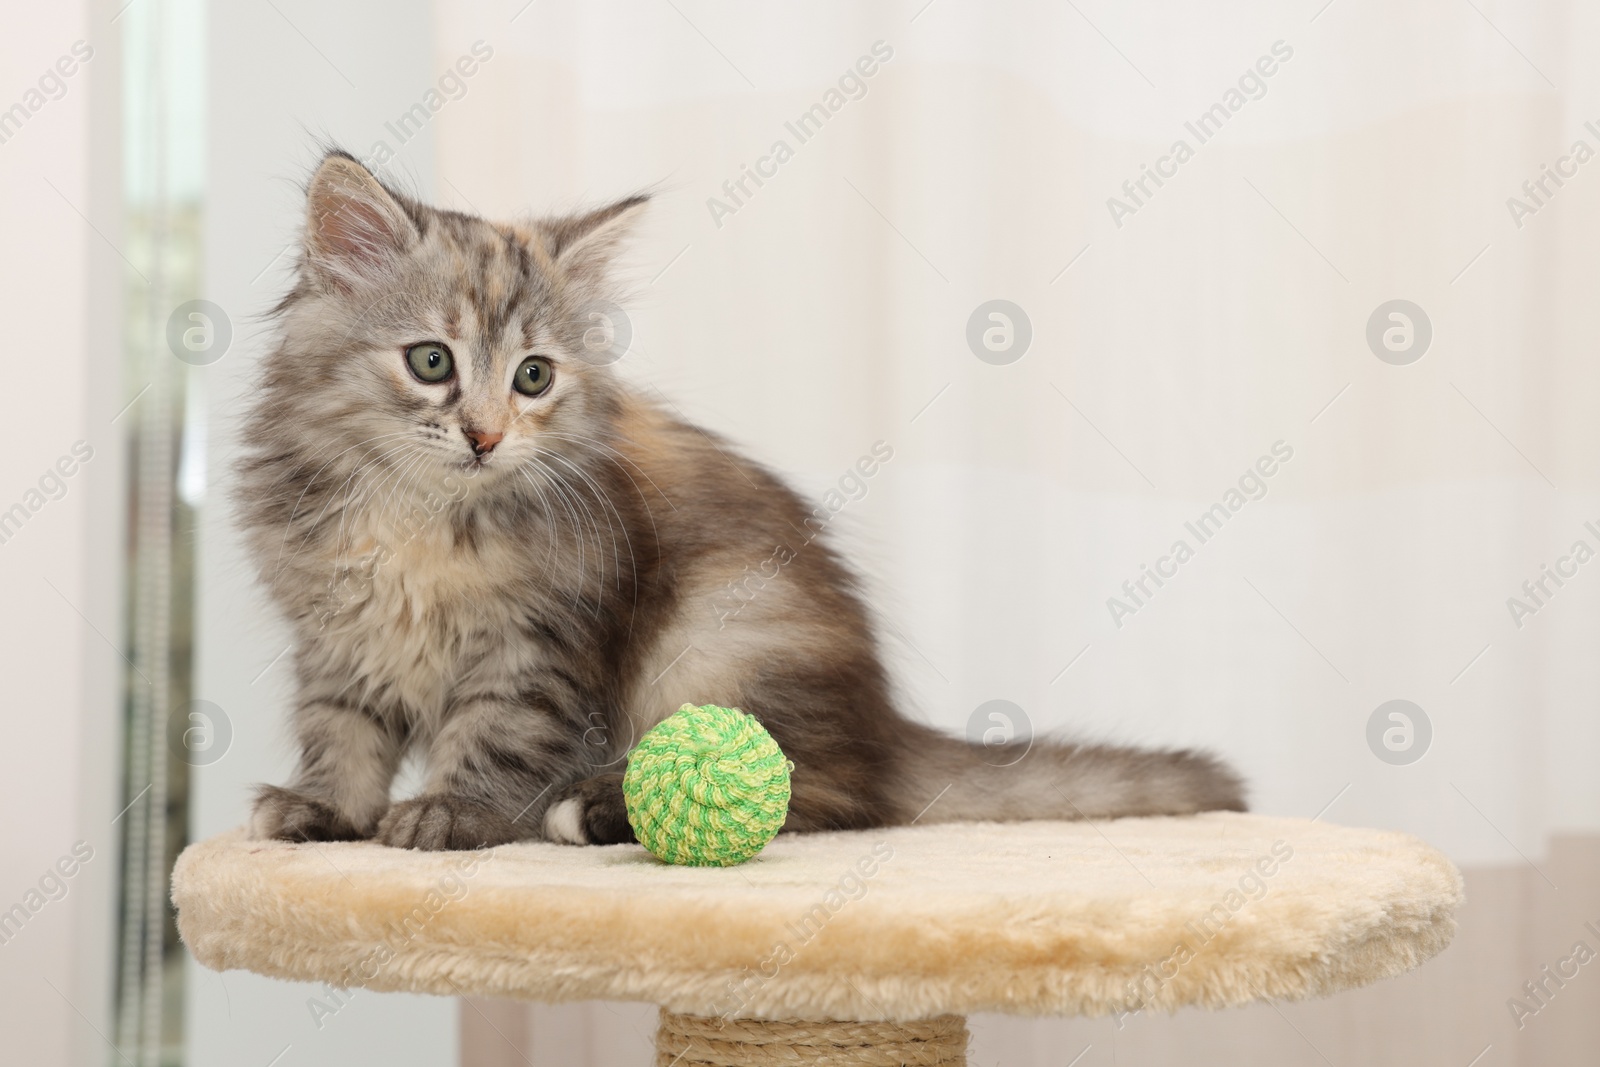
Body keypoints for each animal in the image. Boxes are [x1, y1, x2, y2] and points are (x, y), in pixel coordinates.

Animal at [240, 151, 1248, 851]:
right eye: (431, 361)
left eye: (533, 377)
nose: (485, 436)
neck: (419, 517)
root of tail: (884, 723)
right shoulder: (335, 633)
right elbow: (342, 732)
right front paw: (324, 810)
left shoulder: (538, 642)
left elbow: (492, 734)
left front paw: (451, 812)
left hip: (721, 638)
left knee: (832, 797)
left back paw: (589, 810)